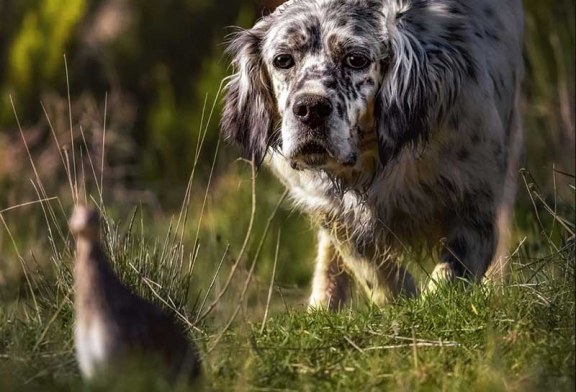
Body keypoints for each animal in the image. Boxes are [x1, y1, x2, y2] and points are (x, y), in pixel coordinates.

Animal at [222, 0, 528, 310]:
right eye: (283, 60)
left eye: (356, 59)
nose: (310, 109)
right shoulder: (333, 211)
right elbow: (375, 272)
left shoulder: (476, 201)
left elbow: (448, 278)